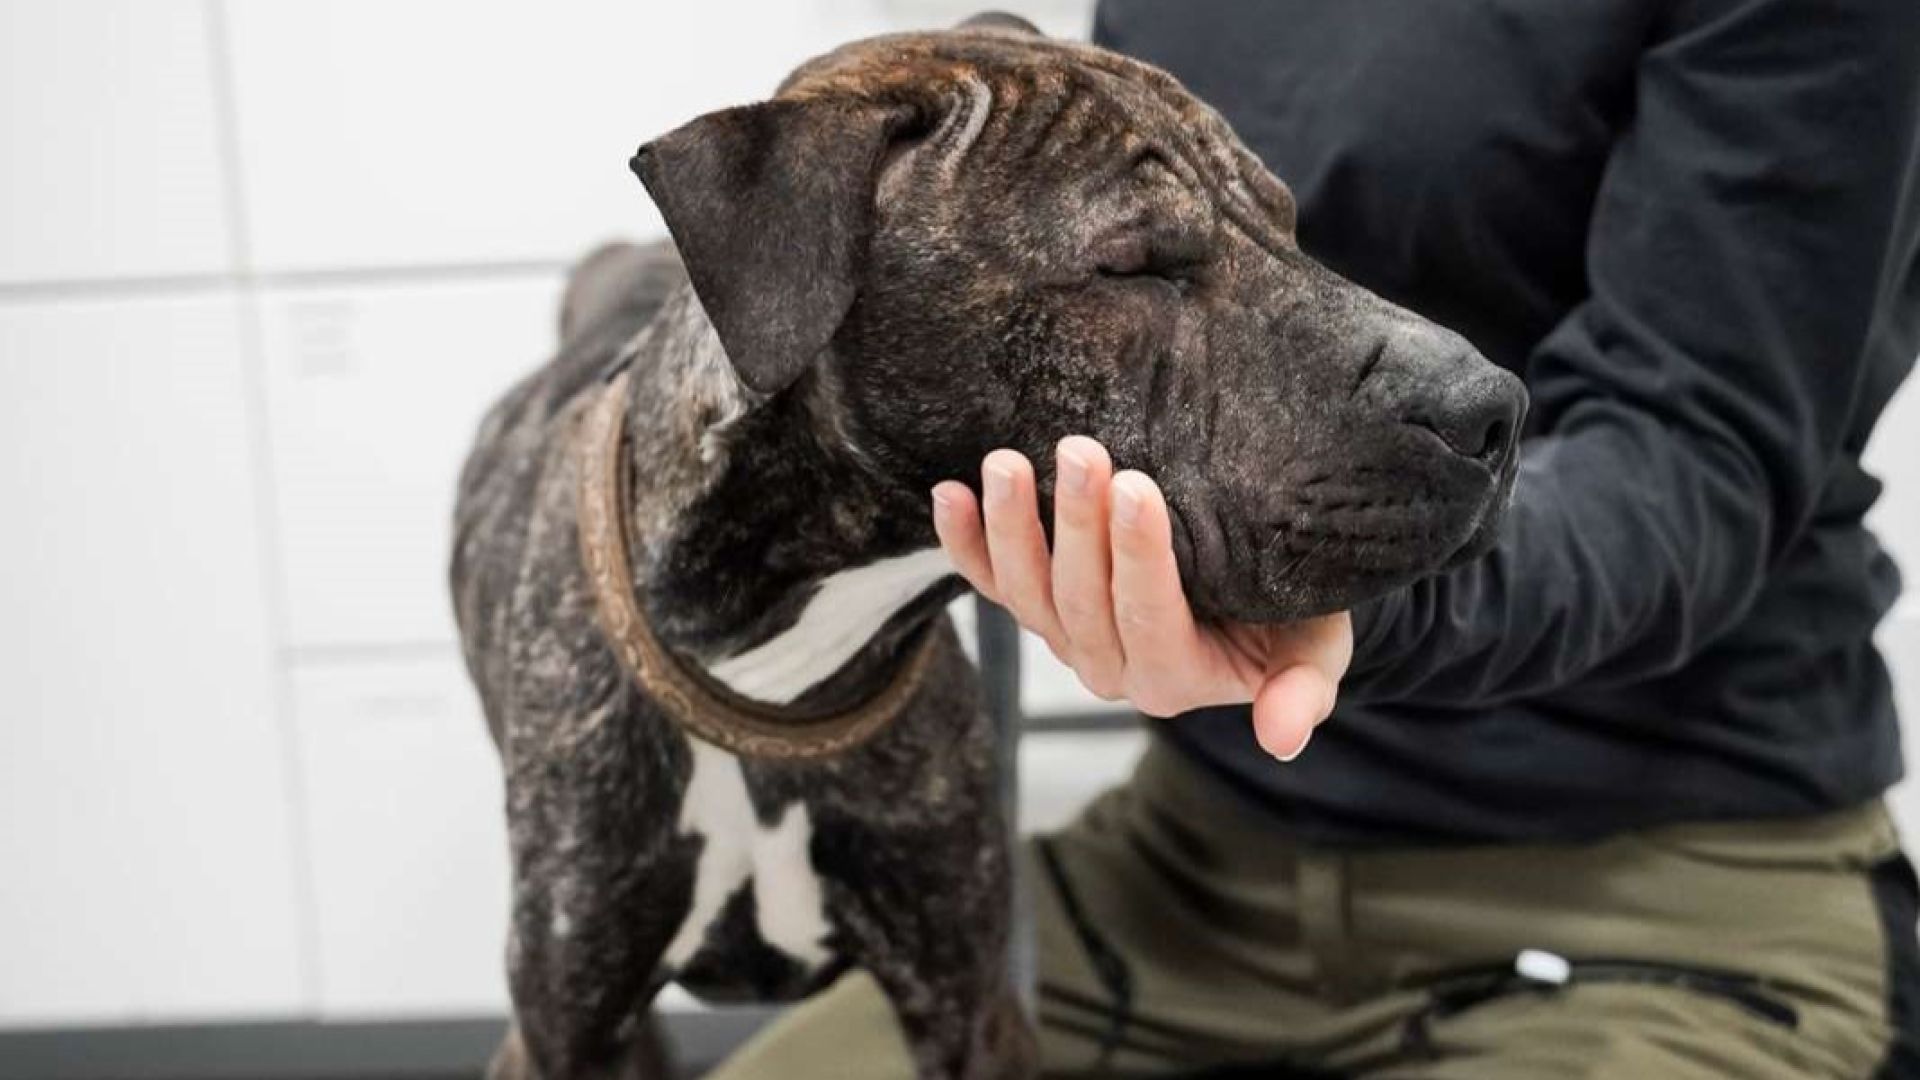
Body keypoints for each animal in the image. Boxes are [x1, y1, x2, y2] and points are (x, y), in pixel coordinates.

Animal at [445, 12, 1512, 1068]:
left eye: (1288, 223)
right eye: (1135, 265)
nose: (1497, 408)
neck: (777, 669)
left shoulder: (967, 992)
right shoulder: (567, 1025)